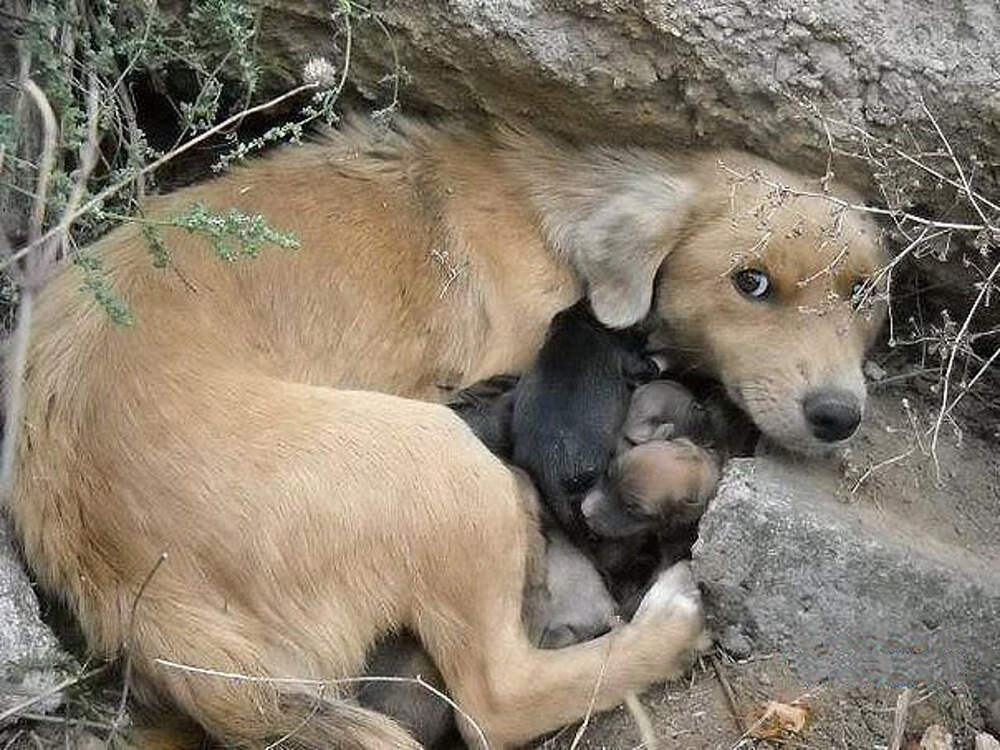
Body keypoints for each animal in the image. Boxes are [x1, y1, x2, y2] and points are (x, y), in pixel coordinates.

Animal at [5, 114, 884, 748]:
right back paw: (673, 620)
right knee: (497, 701)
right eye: (751, 282)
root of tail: (136, 598)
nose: (839, 415)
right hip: (441, 464)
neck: (561, 215)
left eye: (863, 292)